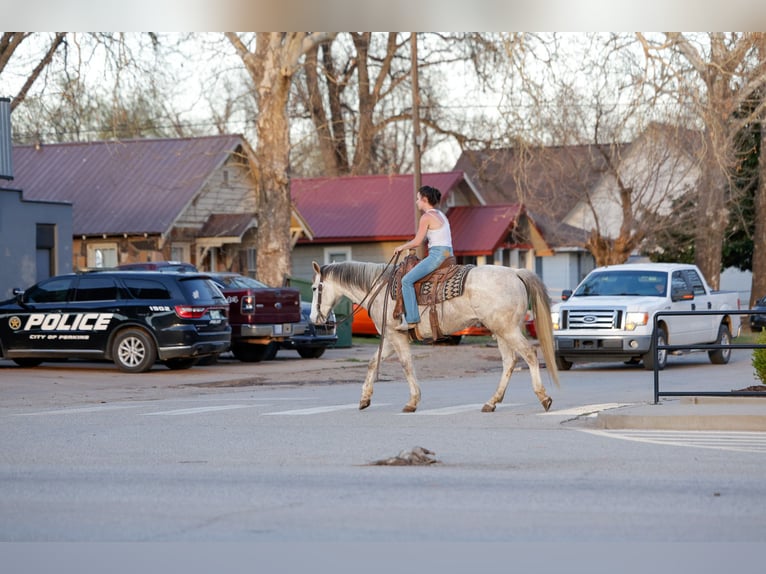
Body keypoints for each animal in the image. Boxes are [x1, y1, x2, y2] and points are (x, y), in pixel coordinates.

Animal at [310, 260, 559, 414]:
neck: (379, 288)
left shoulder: (396, 337)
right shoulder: (391, 338)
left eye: (313, 288)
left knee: (529, 354)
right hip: (501, 331)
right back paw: (491, 402)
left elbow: (406, 365)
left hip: (507, 329)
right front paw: (364, 399)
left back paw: (544, 397)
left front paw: (412, 402)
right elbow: (373, 363)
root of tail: (515, 272)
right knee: (510, 361)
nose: (314, 318)